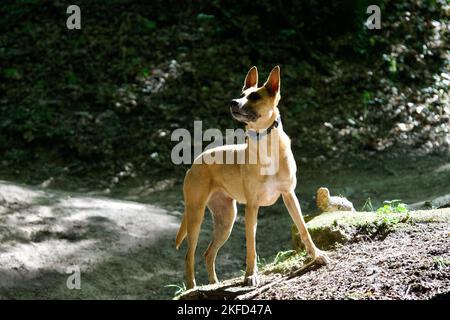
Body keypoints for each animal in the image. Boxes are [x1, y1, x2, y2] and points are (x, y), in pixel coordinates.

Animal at [175, 66, 326, 288]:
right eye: (241, 94)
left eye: (254, 96)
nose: (233, 102)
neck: (266, 146)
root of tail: (195, 162)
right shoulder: (252, 206)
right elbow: (251, 246)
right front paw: (250, 275)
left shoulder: (290, 196)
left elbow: (303, 229)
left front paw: (317, 255)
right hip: (196, 215)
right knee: (189, 255)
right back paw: (192, 286)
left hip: (226, 220)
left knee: (208, 253)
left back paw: (213, 283)